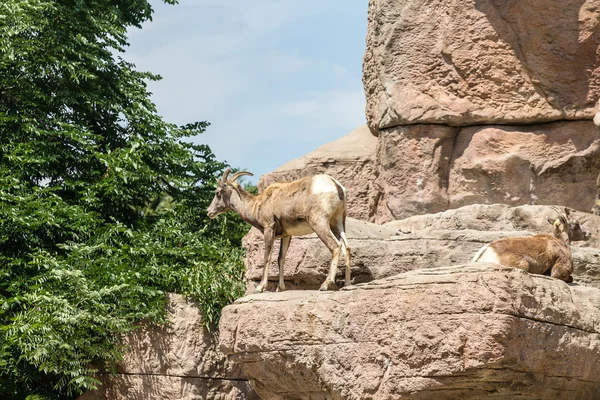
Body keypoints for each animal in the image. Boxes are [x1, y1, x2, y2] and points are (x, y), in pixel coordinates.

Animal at [206, 167, 350, 292]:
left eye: (217, 193)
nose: (209, 212)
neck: (255, 205)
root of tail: (336, 185)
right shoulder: (286, 236)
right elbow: (281, 258)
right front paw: (280, 288)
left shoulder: (269, 228)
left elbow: (267, 257)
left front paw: (260, 287)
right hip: (337, 223)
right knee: (346, 247)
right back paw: (347, 285)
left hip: (319, 223)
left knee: (335, 247)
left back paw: (325, 285)